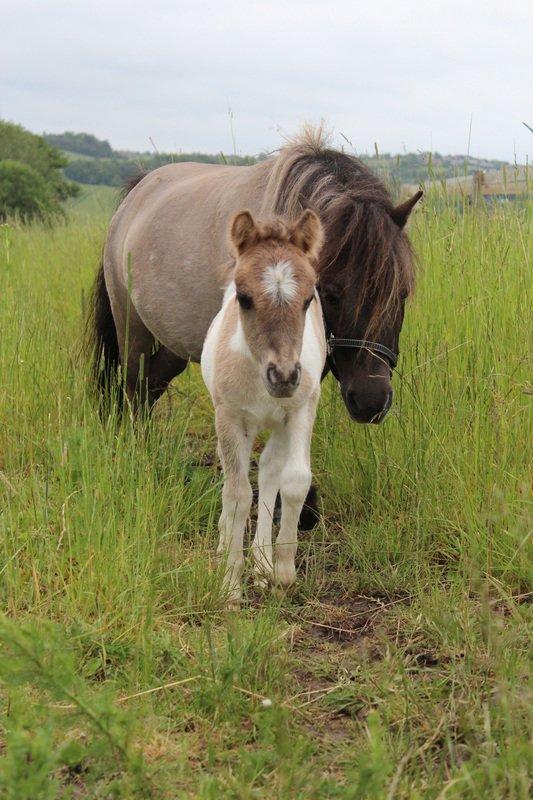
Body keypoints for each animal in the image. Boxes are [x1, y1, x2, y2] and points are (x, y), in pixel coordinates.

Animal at [90, 125, 420, 422]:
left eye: (402, 294)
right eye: (329, 293)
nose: (370, 401)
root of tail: (138, 192)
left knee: (151, 386)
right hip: (132, 330)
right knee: (134, 386)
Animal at [200, 209, 324, 604]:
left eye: (308, 299)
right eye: (244, 297)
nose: (283, 376)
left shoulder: (300, 411)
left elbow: (295, 481)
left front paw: (283, 573)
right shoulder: (229, 417)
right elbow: (238, 494)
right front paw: (229, 585)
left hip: (279, 423)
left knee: (270, 470)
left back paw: (263, 563)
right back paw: (227, 548)